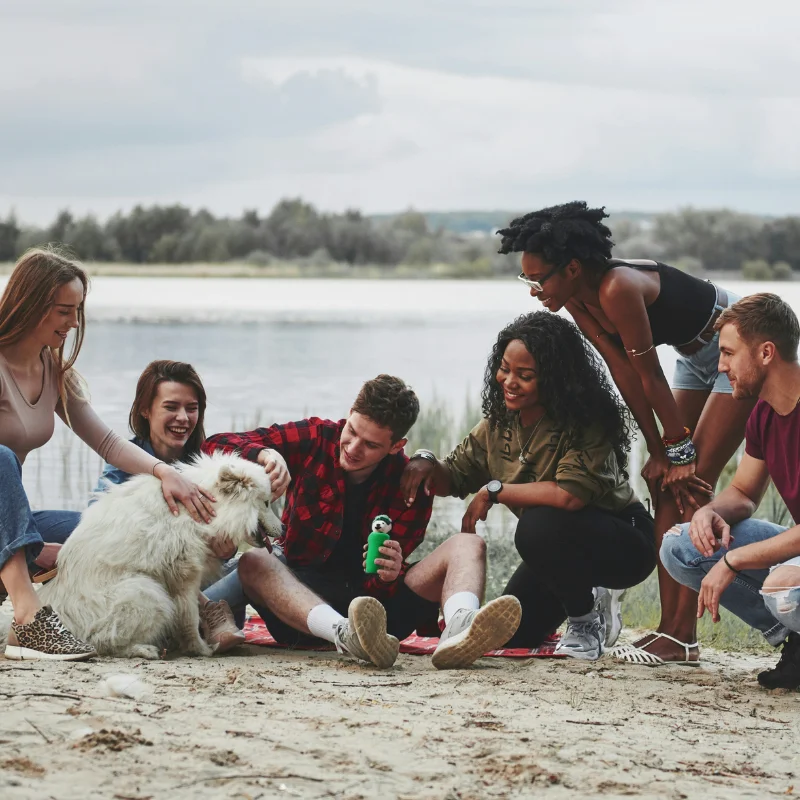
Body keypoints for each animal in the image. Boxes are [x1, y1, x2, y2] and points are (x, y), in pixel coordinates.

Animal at [41, 454, 284, 660]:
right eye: (266, 502)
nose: (283, 528)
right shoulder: (184, 575)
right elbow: (190, 618)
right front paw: (200, 648)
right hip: (146, 593)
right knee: (103, 641)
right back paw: (142, 649)